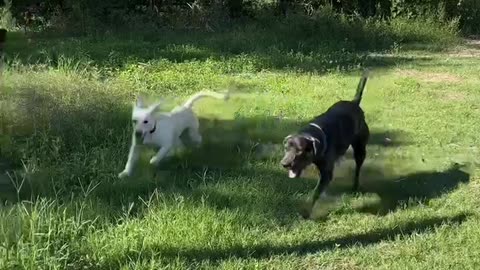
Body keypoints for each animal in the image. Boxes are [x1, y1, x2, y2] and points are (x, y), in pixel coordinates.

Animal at [282, 70, 372, 218]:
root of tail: (354, 103)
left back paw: (355, 186)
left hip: (360, 148)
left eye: (299, 150)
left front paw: (306, 212)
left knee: (358, 167)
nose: (284, 164)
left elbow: (315, 193)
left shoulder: (326, 174)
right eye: (286, 148)